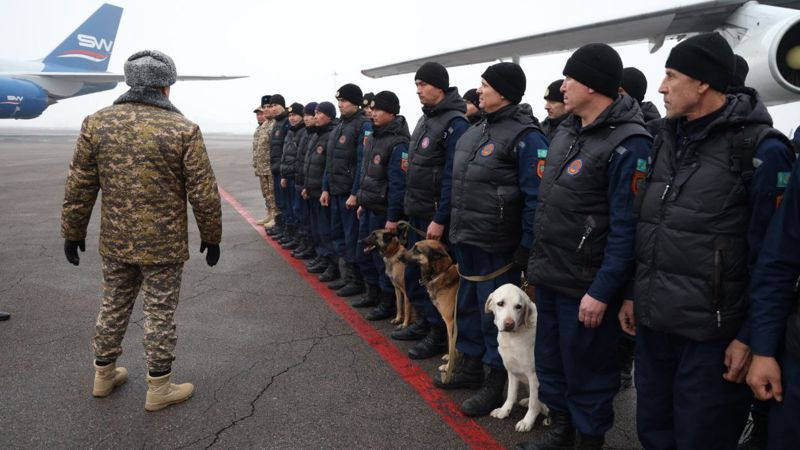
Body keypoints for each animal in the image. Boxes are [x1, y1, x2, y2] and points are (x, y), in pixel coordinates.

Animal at [484, 284, 548, 430]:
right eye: (500, 303)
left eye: (518, 306)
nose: (509, 324)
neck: (513, 337)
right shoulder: (512, 370)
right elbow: (511, 395)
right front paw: (504, 411)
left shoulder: (534, 376)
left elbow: (534, 404)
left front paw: (527, 421)